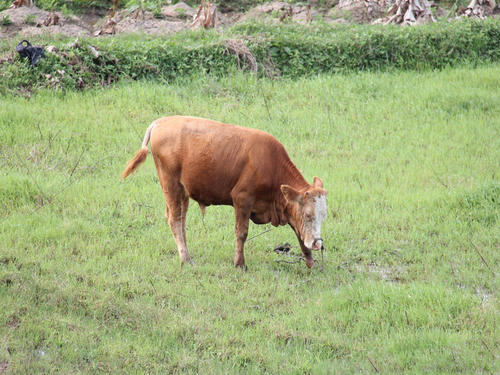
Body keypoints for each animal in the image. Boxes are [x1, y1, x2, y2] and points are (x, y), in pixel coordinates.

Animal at [122, 116, 328, 268]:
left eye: (323, 215)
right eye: (308, 215)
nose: (318, 243)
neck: (271, 166)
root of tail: (162, 121)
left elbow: (300, 235)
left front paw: (311, 262)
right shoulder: (242, 198)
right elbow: (241, 232)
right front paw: (239, 264)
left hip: (182, 190)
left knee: (180, 219)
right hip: (170, 183)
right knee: (175, 219)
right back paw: (185, 259)